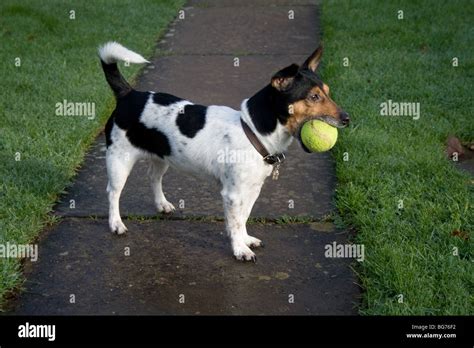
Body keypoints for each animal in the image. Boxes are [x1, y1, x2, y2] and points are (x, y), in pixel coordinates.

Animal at [97, 42, 348, 262]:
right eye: (314, 97)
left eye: (327, 92)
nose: (347, 118)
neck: (253, 131)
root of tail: (128, 94)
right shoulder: (233, 193)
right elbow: (235, 221)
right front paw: (240, 250)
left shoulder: (253, 189)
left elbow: (243, 217)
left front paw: (245, 239)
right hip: (119, 161)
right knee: (112, 192)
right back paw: (116, 224)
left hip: (162, 156)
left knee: (153, 178)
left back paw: (162, 204)